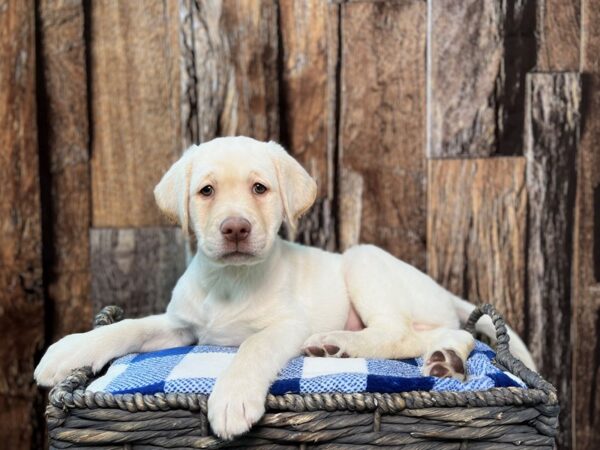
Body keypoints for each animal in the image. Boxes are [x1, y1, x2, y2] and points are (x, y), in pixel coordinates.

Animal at [35, 135, 536, 438]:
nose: (236, 228)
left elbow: (252, 347)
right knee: (453, 335)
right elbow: (130, 327)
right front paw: (68, 350)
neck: (231, 280)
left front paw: (232, 398)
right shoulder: (183, 327)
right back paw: (444, 359)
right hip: (423, 315)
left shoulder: (286, 325)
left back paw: (336, 344)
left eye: (260, 188)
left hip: (362, 260)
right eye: (206, 191)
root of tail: (442, 291)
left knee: (396, 332)